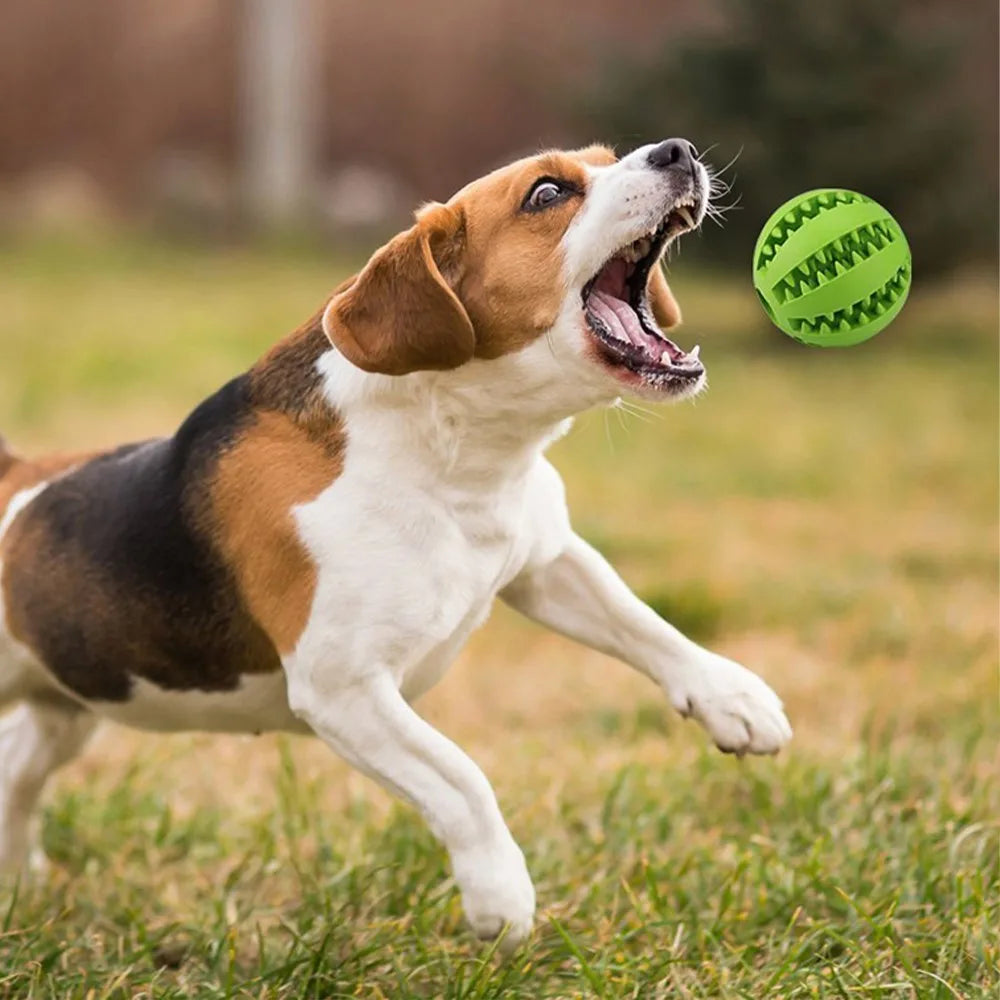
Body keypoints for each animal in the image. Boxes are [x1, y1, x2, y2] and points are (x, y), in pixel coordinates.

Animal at [0, 139, 792, 944]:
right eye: (546, 193)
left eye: (605, 158)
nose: (677, 151)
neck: (457, 453)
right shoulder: (345, 690)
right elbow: (461, 778)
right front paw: (500, 894)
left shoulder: (545, 561)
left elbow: (644, 624)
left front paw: (732, 697)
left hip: (71, 704)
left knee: (15, 766)